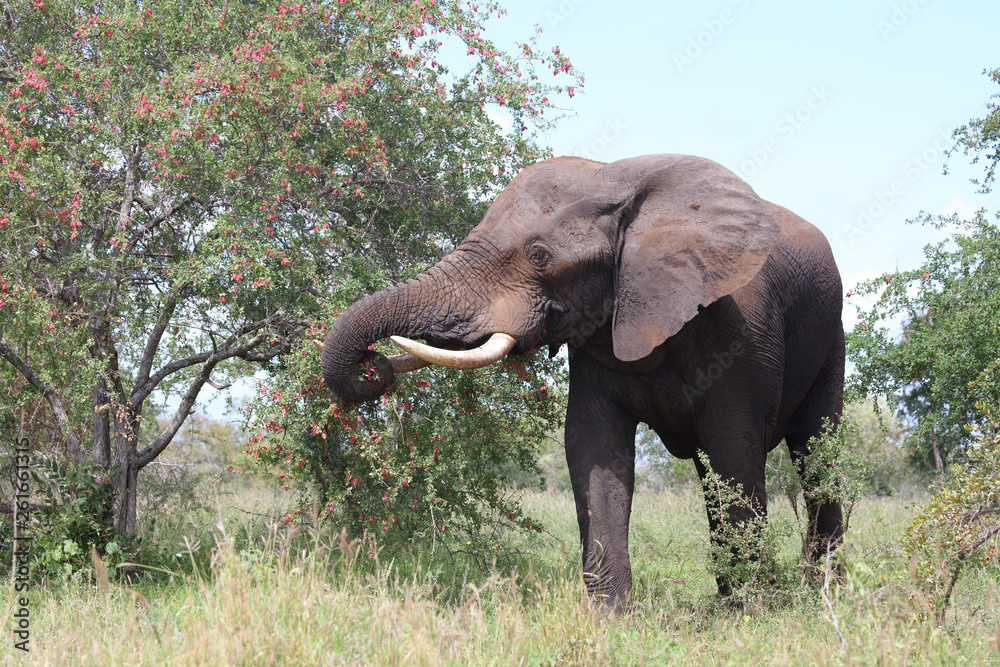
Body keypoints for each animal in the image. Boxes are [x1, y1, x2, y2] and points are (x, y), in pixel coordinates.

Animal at [319, 153, 845, 609]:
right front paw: (611, 616)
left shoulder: (739, 332)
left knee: (816, 448)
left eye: (539, 255)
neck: (614, 178)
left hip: (832, 333)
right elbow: (593, 448)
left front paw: (750, 611)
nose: (373, 364)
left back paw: (823, 593)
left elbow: (733, 447)